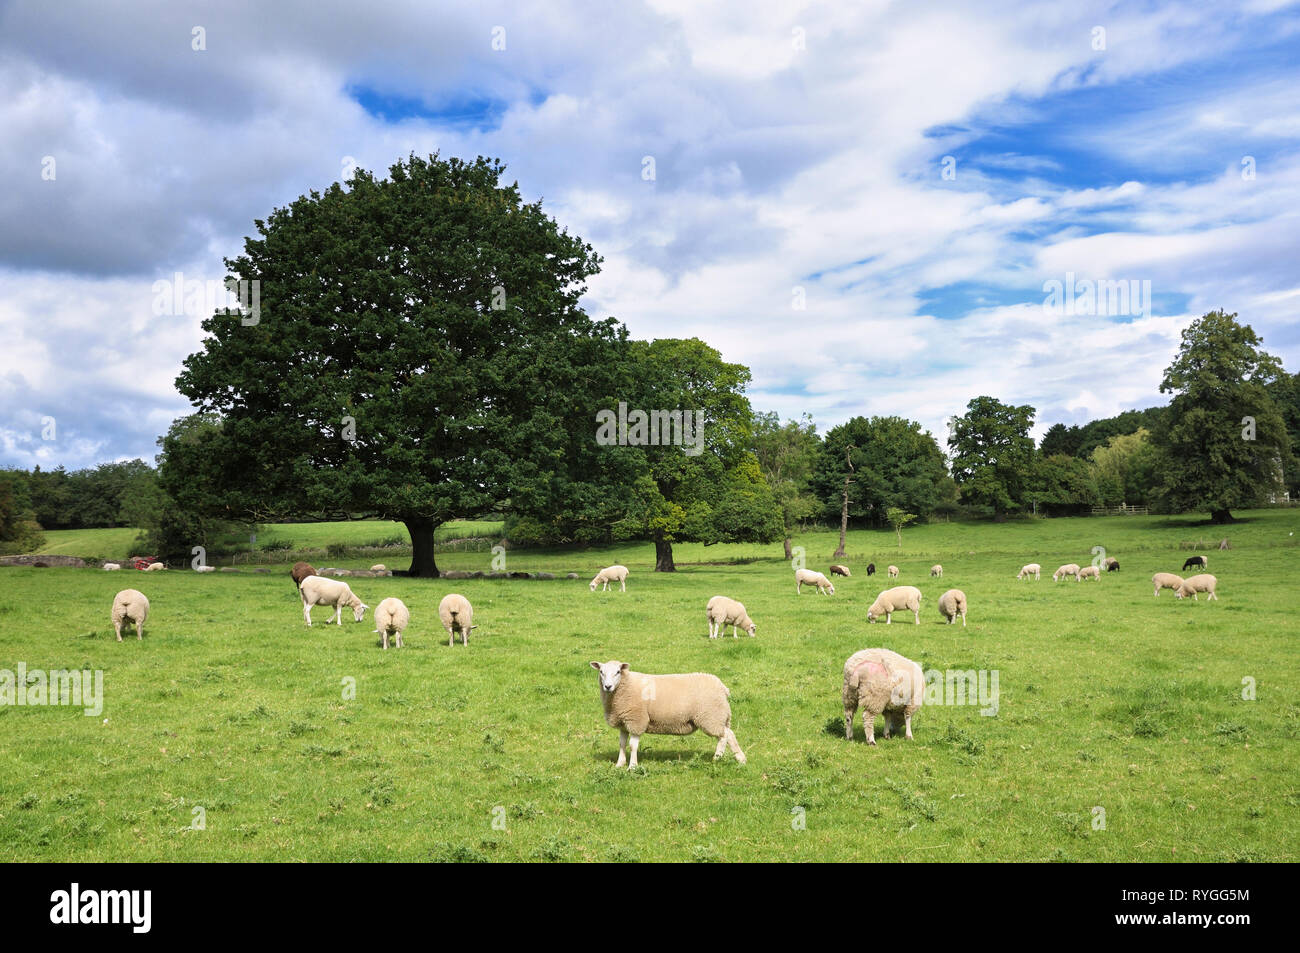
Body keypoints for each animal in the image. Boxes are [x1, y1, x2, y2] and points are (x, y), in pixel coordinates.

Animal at [589, 660, 744, 768]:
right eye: (601, 672)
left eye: (618, 672)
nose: (607, 686)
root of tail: (723, 687)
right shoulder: (624, 723)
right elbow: (622, 744)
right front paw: (619, 764)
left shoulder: (637, 720)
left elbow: (633, 746)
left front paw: (632, 766)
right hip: (717, 717)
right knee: (729, 734)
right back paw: (740, 759)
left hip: (710, 717)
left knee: (724, 736)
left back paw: (717, 758)